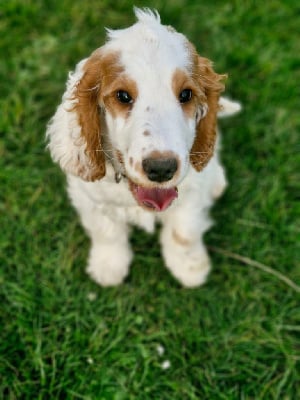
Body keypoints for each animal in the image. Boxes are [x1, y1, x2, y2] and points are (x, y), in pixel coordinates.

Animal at [46, 8, 239, 288]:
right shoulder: (89, 197)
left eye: (186, 95)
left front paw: (190, 268)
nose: (161, 169)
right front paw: (108, 267)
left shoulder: (192, 193)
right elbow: (106, 231)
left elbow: (184, 231)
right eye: (123, 96)